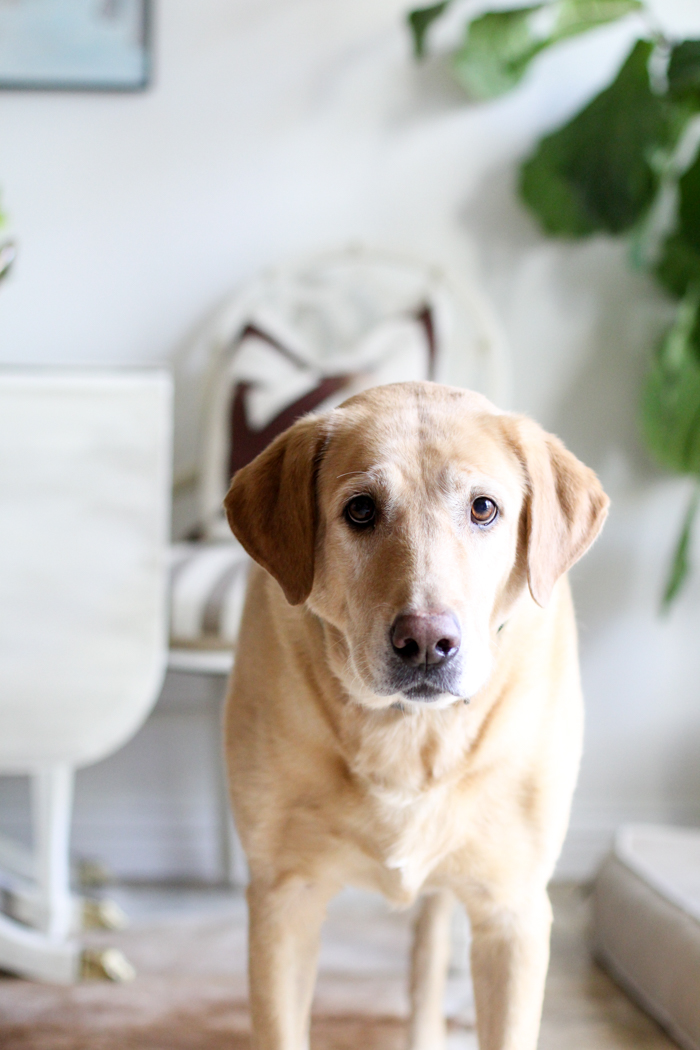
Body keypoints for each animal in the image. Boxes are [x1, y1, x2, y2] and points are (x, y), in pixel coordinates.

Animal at [224, 382, 608, 1050]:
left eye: (484, 509)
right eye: (359, 510)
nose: (427, 642)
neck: (406, 730)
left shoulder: (514, 913)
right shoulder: (282, 898)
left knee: (429, 951)